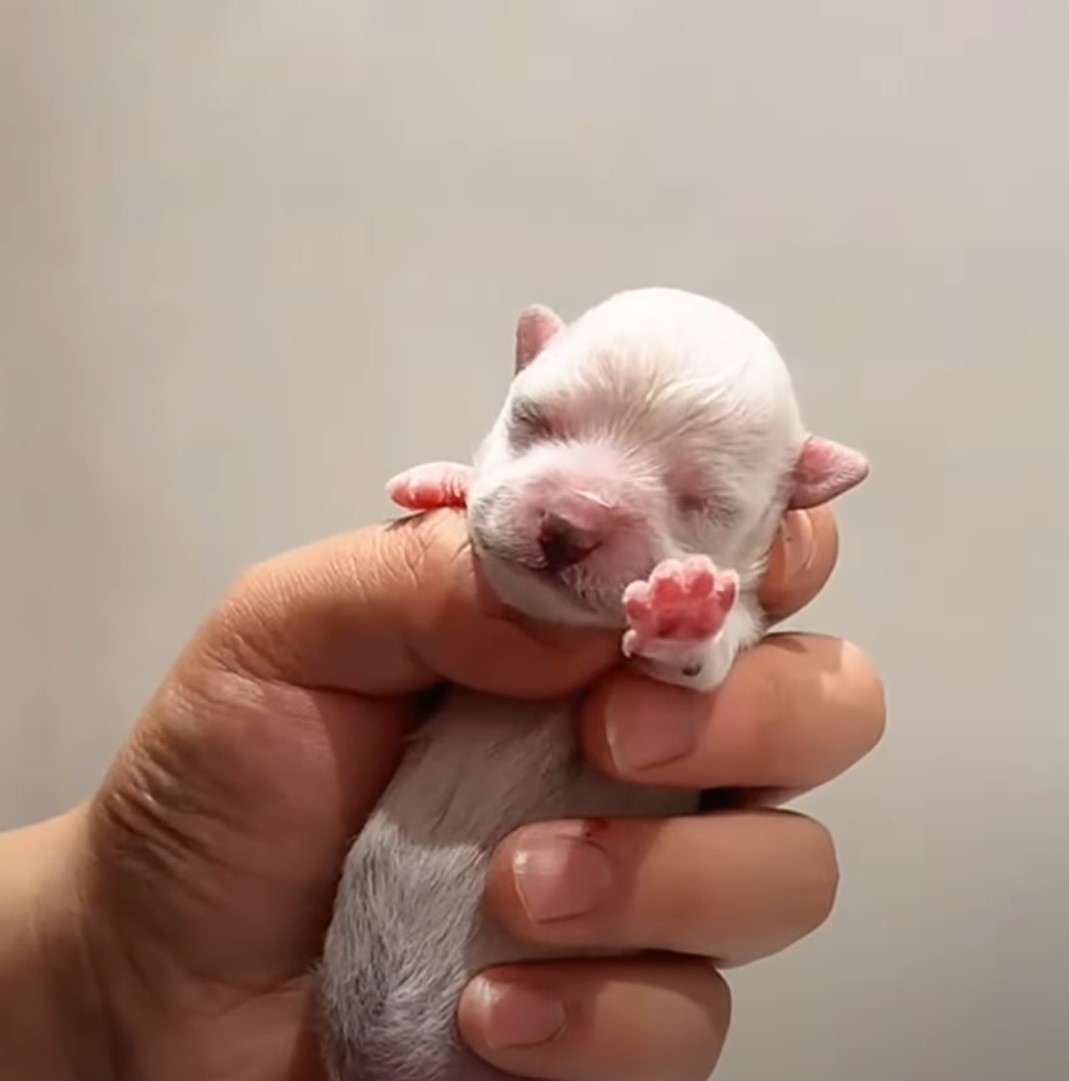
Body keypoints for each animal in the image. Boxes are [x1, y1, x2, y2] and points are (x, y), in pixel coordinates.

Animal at [317, 287, 869, 1081]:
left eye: (703, 501)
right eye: (532, 420)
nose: (569, 523)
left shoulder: (743, 625)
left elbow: (702, 658)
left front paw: (682, 613)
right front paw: (442, 478)